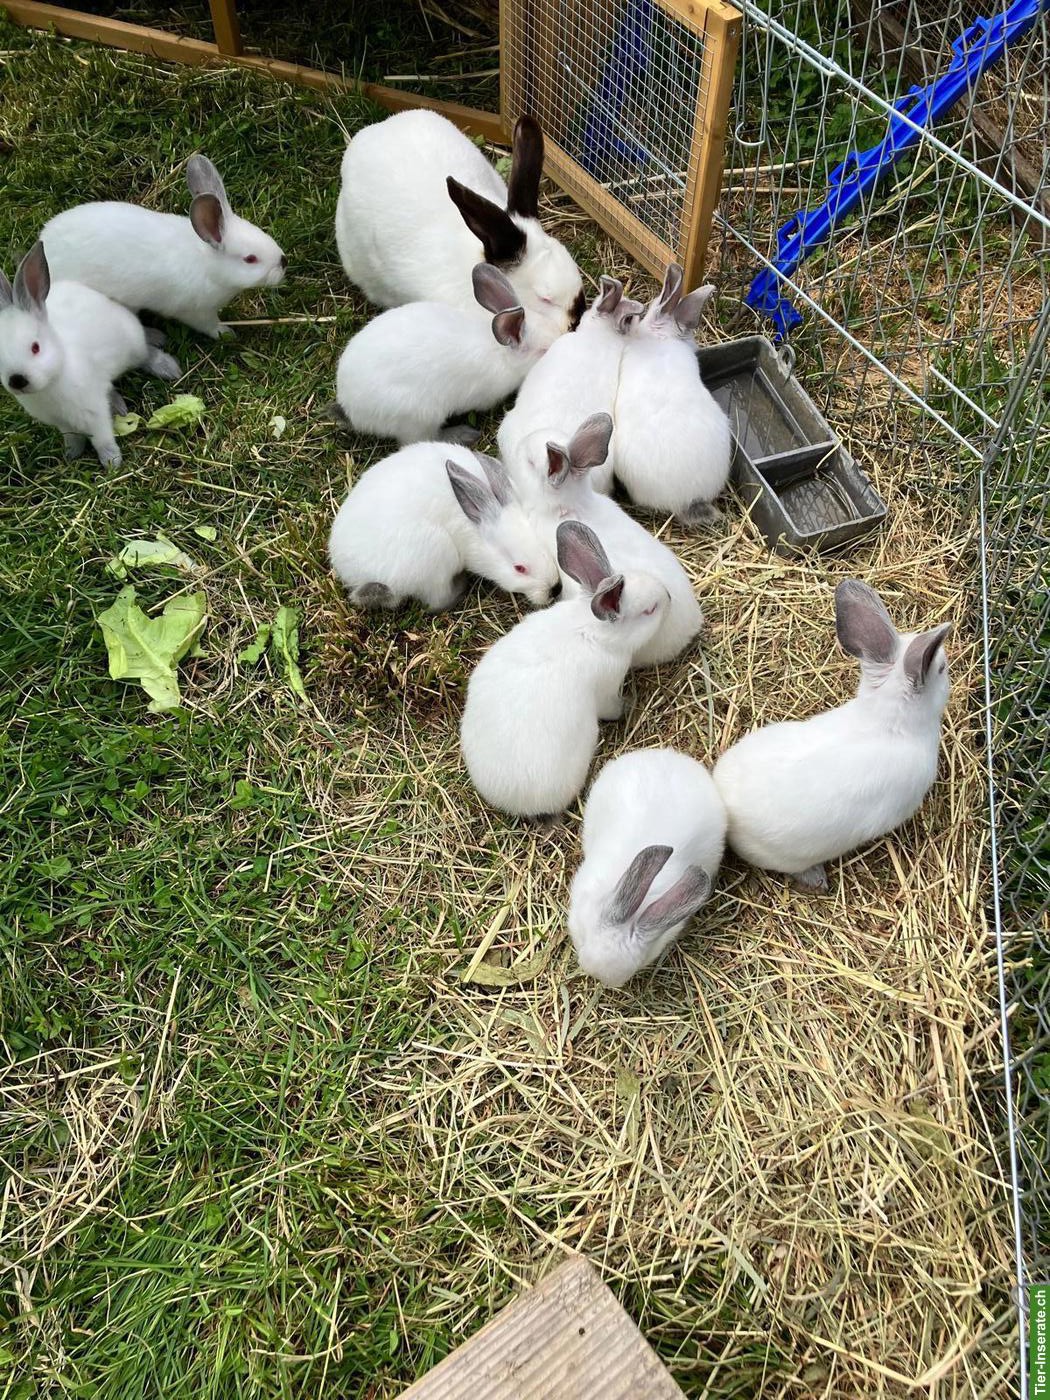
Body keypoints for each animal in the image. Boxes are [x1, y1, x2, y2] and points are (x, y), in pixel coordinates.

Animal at [0, 242, 181, 468]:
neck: (52, 381)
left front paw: (112, 463)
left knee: (146, 354)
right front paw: (71, 456)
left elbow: (102, 439)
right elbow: (73, 439)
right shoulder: (63, 424)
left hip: (133, 346)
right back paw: (119, 406)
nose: (17, 380)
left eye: (35, 347)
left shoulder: (94, 414)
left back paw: (167, 366)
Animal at [40, 155, 286, 339]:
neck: (207, 265)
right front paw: (226, 333)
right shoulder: (196, 312)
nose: (283, 261)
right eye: (250, 259)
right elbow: (209, 326)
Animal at [460, 520, 669, 817]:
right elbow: (612, 707)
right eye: (649, 610)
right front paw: (629, 705)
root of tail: (511, 803)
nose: (669, 596)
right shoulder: (607, 690)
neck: (590, 629)